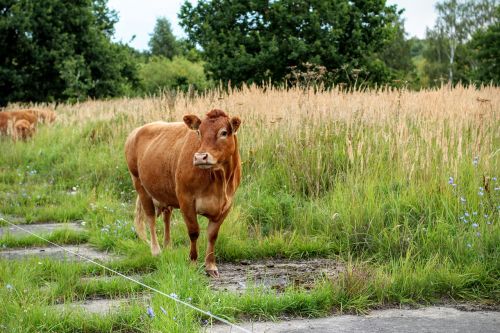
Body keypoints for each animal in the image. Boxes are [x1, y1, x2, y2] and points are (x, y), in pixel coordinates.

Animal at [126, 109, 241, 278]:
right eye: (199, 132)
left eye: (224, 132)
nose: (200, 157)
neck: (218, 180)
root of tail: (137, 130)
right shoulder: (186, 200)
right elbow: (193, 232)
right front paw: (192, 263)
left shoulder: (226, 205)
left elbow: (212, 235)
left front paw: (210, 266)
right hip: (139, 184)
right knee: (150, 218)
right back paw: (156, 251)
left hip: (165, 192)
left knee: (166, 216)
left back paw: (168, 246)